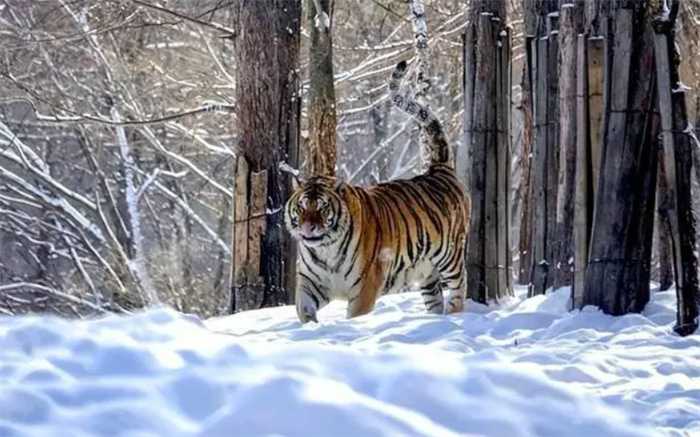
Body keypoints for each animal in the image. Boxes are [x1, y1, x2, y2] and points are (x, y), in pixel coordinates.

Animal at [284, 59, 470, 322]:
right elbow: (304, 308)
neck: (325, 250)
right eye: (301, 207)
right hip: (426, 272)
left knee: (458, 287)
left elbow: (356, 316)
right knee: (434, 297)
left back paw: (455, 316)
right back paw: (436, 320)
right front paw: (311, 327)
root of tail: (439, 168)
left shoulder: (365, 286)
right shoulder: (311, 283)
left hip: (450, 255)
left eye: (322, 208)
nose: (308, 228)